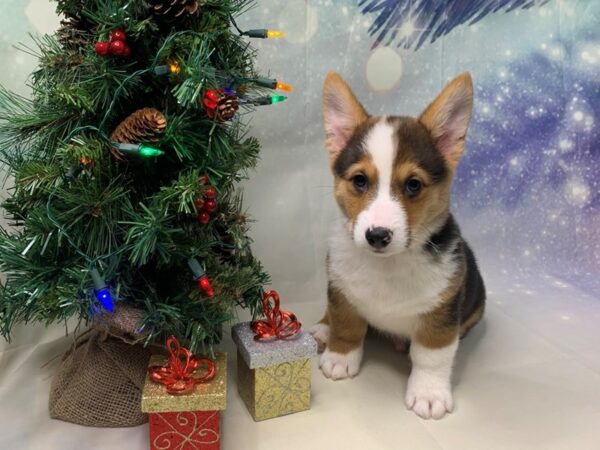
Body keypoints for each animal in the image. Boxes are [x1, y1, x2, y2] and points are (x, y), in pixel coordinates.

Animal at [312, 72, 486, 420]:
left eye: (414, 185)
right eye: (360, 180)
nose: (377, 235)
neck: (387, 264)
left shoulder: (441, 312)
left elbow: (432, 355)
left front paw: (429, 394)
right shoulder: (340, 288)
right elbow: (346, 324)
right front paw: (340, 356)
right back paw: (323, 329)